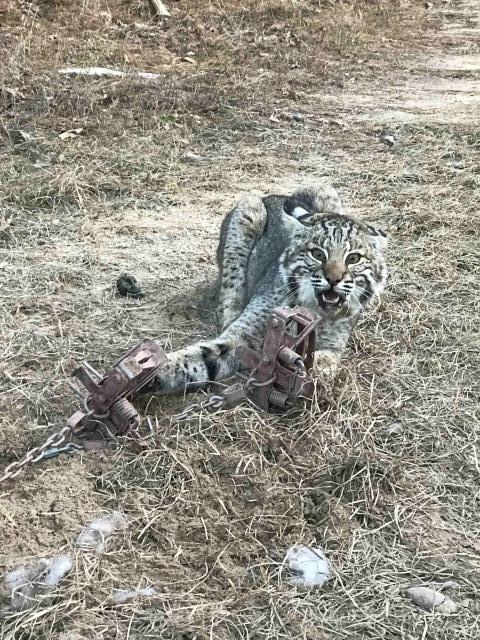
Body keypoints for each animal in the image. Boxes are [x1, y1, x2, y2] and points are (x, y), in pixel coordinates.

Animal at [142, 183, 387, 396]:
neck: (313, 307)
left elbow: (323, 364)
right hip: (248, 209)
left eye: (353, 258)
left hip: (325, 189)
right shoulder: (240, 338)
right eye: (317, 254)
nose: (334, 279)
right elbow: (200, 355)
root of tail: (273, 195)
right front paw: (150, 372)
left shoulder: (334, 347)